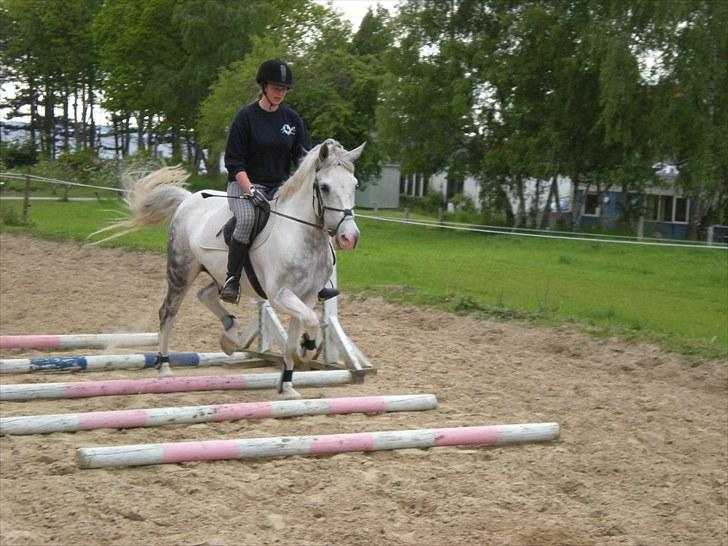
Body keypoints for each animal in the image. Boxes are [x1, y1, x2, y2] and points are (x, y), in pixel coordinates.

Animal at [98, 139, 364, 396]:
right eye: (324, 187)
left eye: (354, 185)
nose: (349, 238)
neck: (299, 234)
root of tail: (187, 200)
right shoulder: (280, 295)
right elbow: (311, 320)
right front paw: (306, 350)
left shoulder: (306, 296)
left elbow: (305, 329)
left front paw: (289, 384)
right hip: (181, 271)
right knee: (168, 312)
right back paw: (164, 367)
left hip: (218, 274)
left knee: (205, 293)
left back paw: (230, 336)